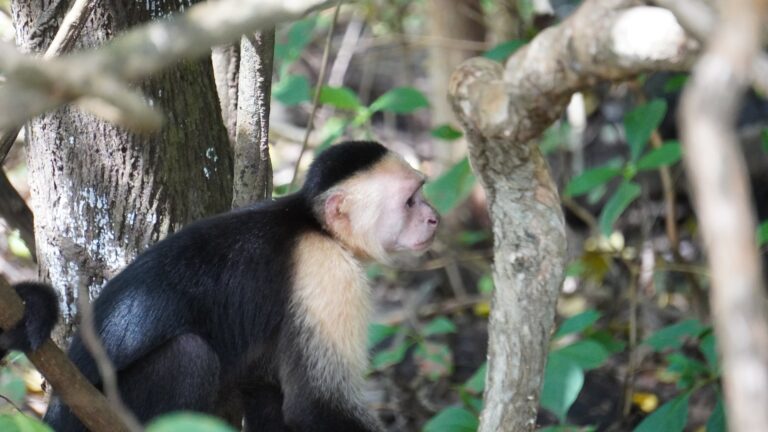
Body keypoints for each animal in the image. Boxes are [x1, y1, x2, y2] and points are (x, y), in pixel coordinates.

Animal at [0, 141, 439, 431]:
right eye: (410, 202)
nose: (434, 218)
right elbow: (316, 406)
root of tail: (58, 410)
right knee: (189, 356)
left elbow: (268, 390)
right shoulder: (328, 273)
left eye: (422, 192)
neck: (314, 225)